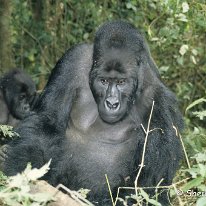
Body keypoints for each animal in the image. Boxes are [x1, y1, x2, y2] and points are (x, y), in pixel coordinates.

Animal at [0, 21, 183, 205]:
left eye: (121, 82)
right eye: (103, 81)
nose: (112, 103)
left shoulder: (159, 100)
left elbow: (149, 182)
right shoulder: (72, 60)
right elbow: (47, 124)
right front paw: (21, 169)